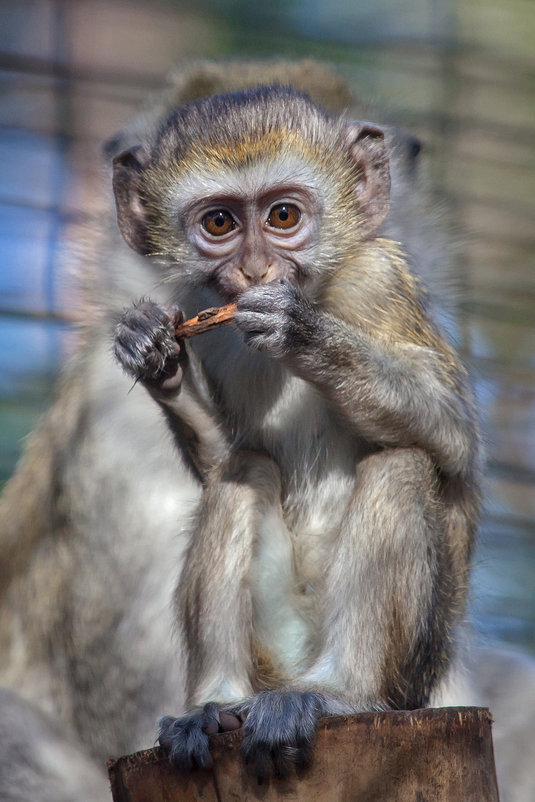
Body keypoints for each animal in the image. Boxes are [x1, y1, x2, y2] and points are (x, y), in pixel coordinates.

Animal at [113, 83, 482, 776]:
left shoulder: (379, 277)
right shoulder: (209, 317)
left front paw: (302, 332)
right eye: (220, 224)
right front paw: (155, 356)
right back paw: (214, 702)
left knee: (401, 462)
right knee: (241, 472)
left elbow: (453, 438)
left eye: (283, 216)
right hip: (274, 647)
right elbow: (227, 458)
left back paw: (338, 692)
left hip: (410, 673)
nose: (258, 272)